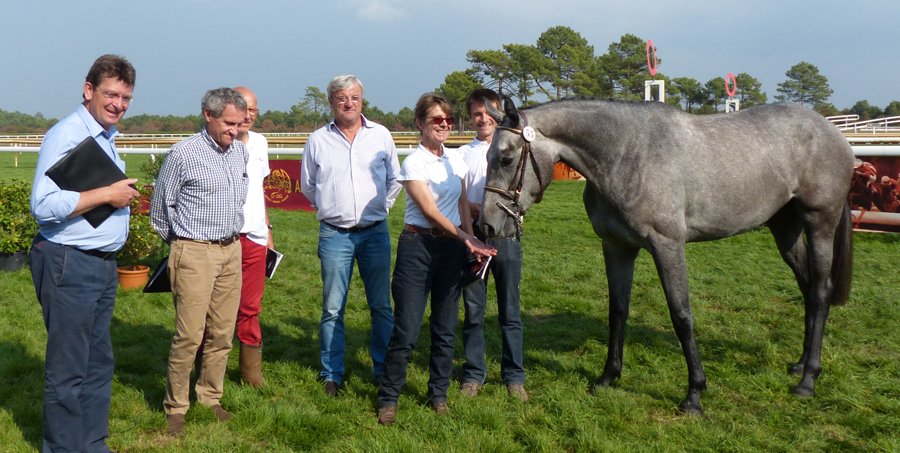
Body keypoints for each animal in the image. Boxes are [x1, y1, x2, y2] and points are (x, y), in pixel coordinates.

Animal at [480, 97, 854, 414]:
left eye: (507, 159)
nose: (486, 225)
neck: (626, 153)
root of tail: (832, 132)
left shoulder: (667, 246)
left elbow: (681, 316)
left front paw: (694, 394)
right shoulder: (617, 247)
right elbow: (618, 310)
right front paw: (607, 377)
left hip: (820, 223)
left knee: (820, 292)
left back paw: (808, 380)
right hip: (785, 228)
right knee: (807, 287)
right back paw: (801, 364)